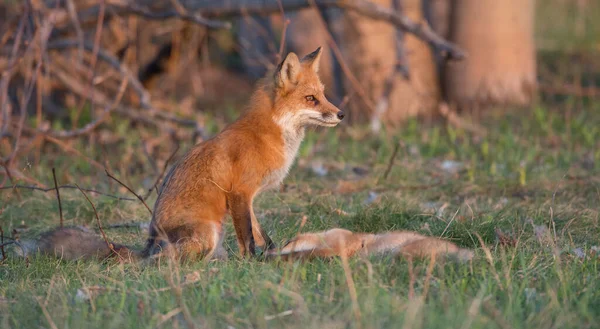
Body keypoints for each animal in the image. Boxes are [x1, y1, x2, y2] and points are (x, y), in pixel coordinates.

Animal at [15, 46, 346, 262]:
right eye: (311, 99)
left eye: (323, 95)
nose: (341, 114)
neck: (268, 134)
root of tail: (148, 247)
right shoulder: (239, 192)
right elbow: (248, 239)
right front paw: (254, 263)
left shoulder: (248, 198)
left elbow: (260, 232)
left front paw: (272, 253)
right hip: (209, 229)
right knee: (169, 263)